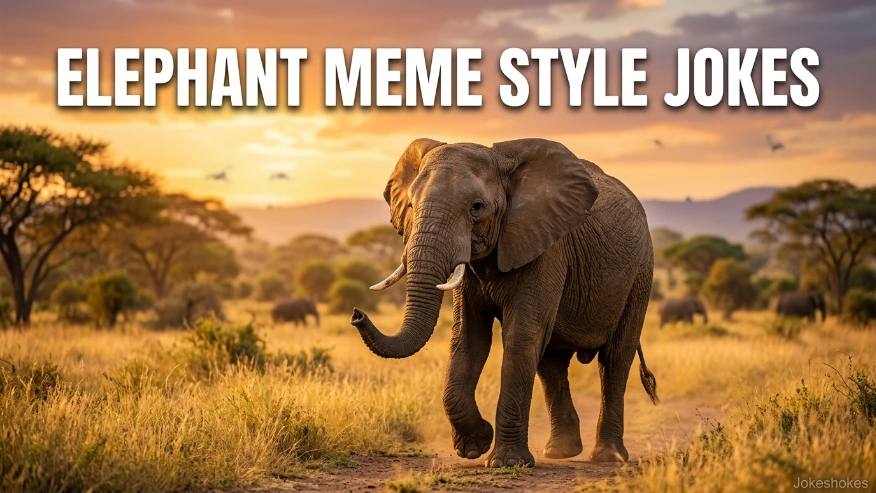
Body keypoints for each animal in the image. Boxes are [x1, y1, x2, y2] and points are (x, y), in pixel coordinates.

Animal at [349, 138, 658, 468]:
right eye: (410, 205)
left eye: (476, 208)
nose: (357, 314)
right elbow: (469, 338)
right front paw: (475, 447)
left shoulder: (545, 247)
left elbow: (520, 336)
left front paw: (506, 462)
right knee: (551, 363)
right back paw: (560, 452)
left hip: (640, 274)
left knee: (614, 359)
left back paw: (608, 457)